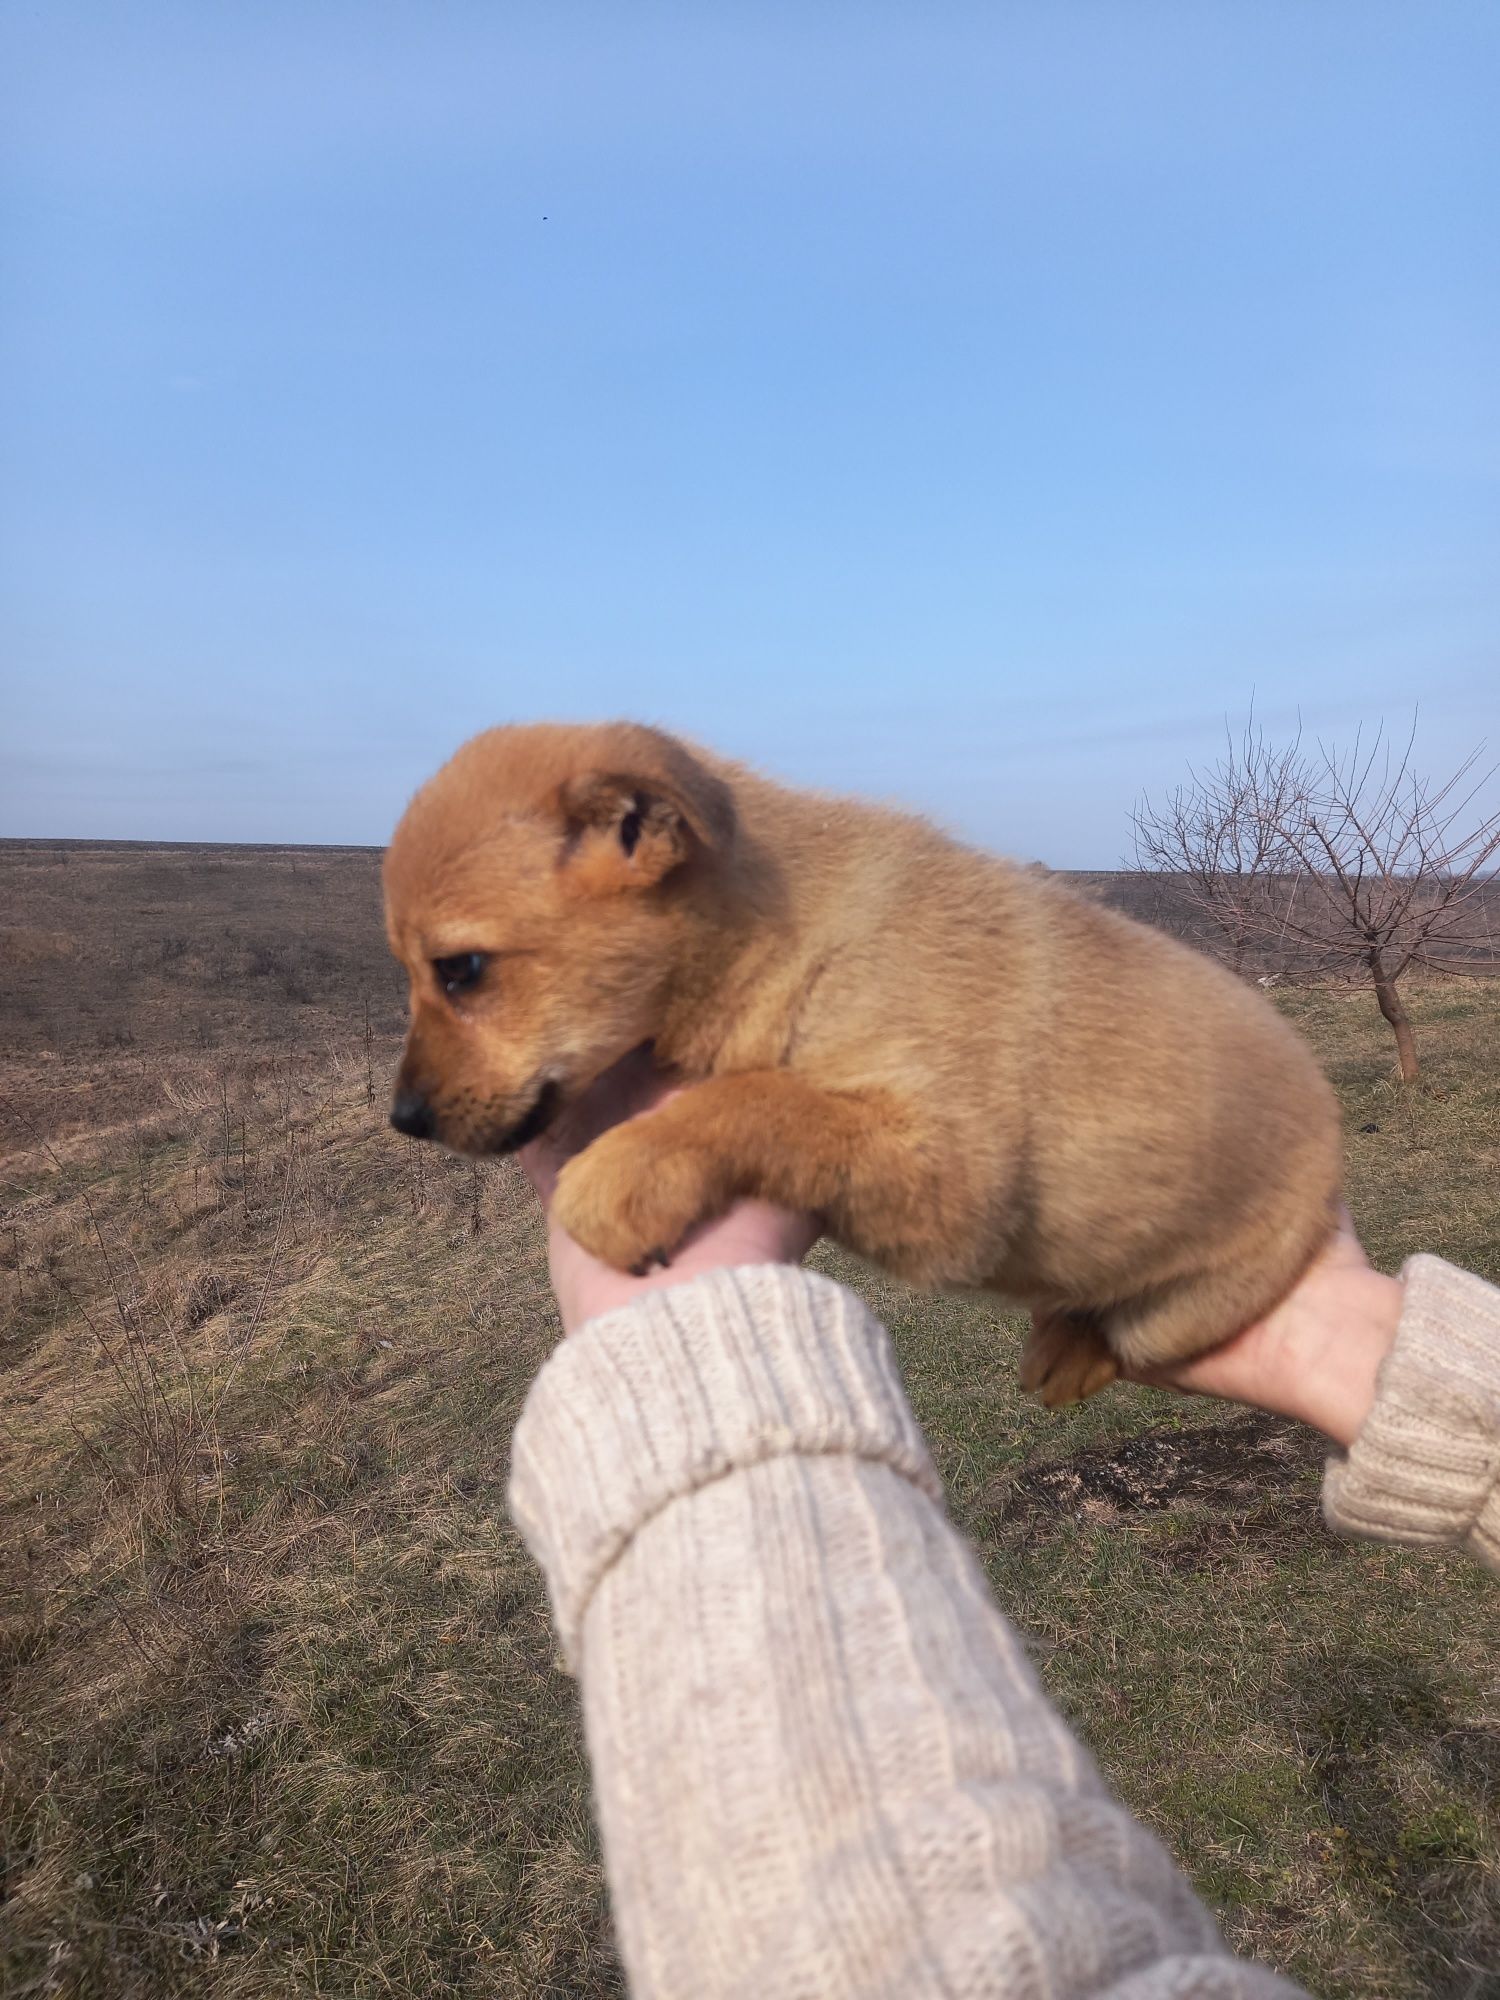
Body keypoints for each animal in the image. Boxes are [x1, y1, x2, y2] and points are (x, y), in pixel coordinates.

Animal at [382, 724, 1344, 1408]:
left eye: (460, 969)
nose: (403, 1120)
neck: (795, 941)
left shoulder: (954, 1187)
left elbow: (768, 1100)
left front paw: (630, 1167)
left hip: (1186, 1308)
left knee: (1130, 1342)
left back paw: (1072, 1349)